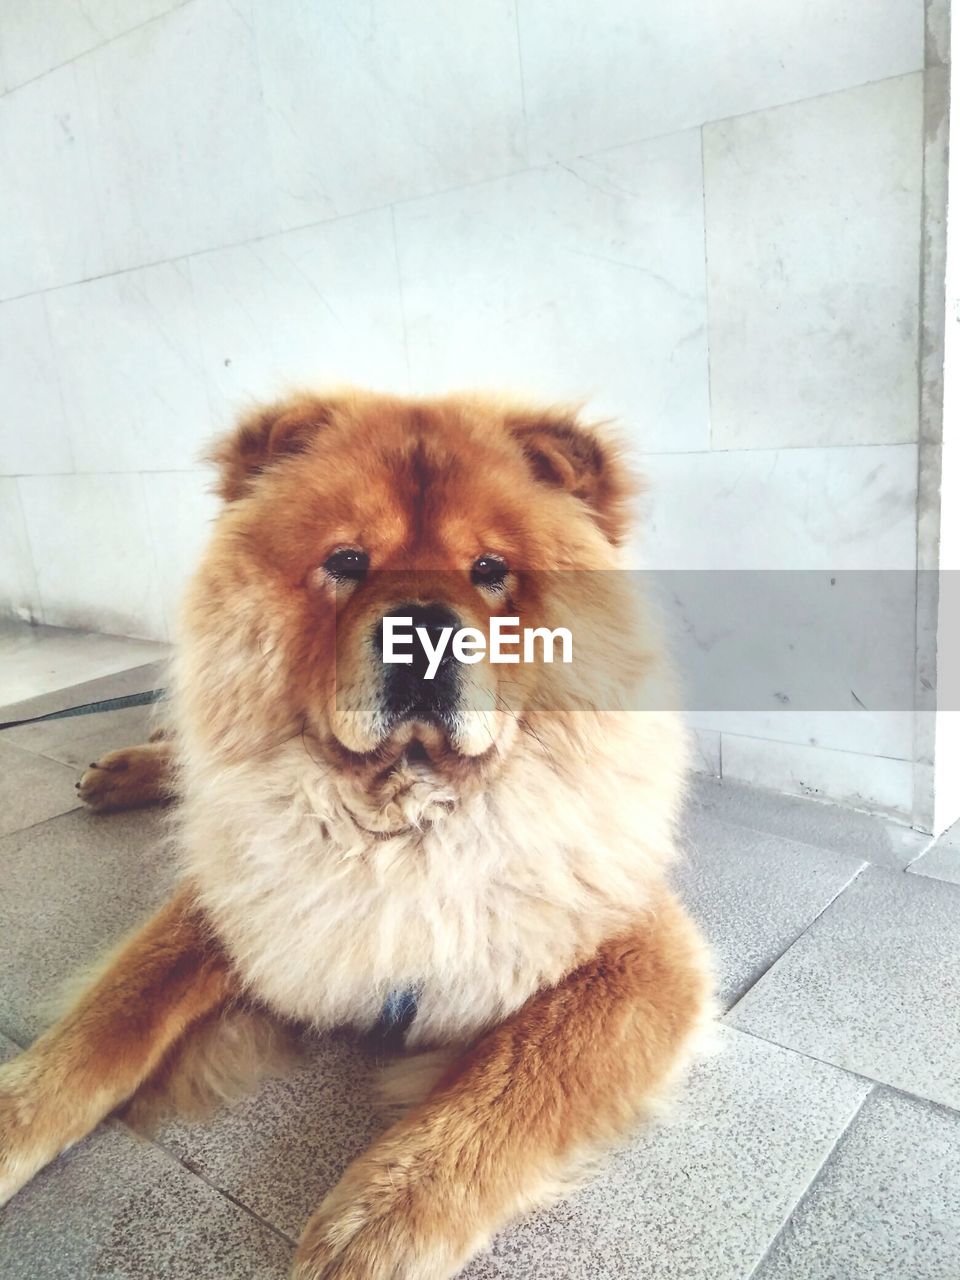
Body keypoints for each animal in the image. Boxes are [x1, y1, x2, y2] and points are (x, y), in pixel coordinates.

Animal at [1, 389, 716, 1280]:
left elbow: (503, 1095)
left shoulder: (636, 955)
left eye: (490, 570)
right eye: (347, 560)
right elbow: (109, 1020)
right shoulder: (239, 896)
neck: (400, 826)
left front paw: (370, 1232)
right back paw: (121, 771)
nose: (422, 628)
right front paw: (15, 1117)